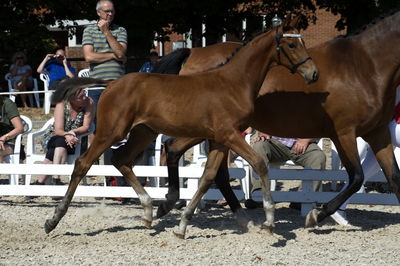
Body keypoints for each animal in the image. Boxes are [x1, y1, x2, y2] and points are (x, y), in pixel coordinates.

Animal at [43, 18, 318, 237]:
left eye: (303, 41)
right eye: (292, 45)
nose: (313, 73)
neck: (234, 83)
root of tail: (111, 83)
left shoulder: (220, 139)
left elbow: (209, 177)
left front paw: (183, 224)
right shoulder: (229, 135)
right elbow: (259, 164)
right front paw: (269, 221)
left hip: (144, 132)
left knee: (122, 159)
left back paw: (148, 210)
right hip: (111, 132)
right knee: (83, 164)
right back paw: (53, 219)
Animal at [155, 8, 400, 229]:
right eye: (291, 45)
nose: (313, 74)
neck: (363, 67)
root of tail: (191, 54)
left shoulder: (378, 133)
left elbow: (393, 177)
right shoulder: (344, 133)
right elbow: (356, 177)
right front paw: (317, 215)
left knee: (198, 162)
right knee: (184, 154)